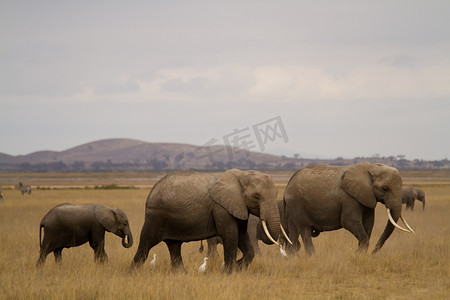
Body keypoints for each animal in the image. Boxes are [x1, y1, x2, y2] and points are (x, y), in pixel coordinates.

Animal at [130, 169, 284, 272]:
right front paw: (228, 272)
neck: (242, 175)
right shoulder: (221, 207)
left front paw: (237, 267)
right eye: (256, 196)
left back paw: (182, 274)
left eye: (277, 193)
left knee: (174, 246)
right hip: (155, 216)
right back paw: (132, 273)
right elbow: (231, 236)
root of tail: (151, 191)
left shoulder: (239, 205)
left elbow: (242, 237)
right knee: (146, 244)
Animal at [284, 163, 414, 256]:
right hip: (297, 203)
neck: (372, 167)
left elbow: (369, 222)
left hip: (293, 206)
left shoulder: (367, 197)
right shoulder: (349, 198)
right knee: (304, 228)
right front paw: (357, 254)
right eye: (385, 188)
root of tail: (288, 184)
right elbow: (349, 222)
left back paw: (292, 257)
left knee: (293, 229)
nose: (373, 253)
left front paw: (360, 254)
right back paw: (312, 257)